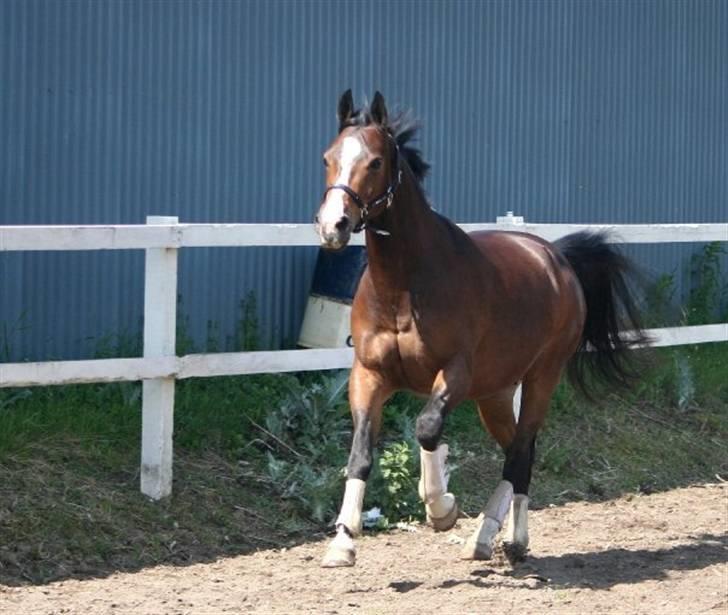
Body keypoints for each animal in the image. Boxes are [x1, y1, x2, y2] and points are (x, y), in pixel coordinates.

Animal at [312, 90, 648, 568]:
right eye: (328, 158)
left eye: (375, 162)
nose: (333, 226)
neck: (404, 287)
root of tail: (556, 258)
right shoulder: (369, 374)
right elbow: (360, 454)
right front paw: (343, 542)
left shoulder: (456, 372)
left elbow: (427, 428)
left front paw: (441, 508)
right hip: (495, 394)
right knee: (517, 450)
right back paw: (491, 537)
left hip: (541, 378)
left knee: (522, 452)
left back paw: (505, 539)